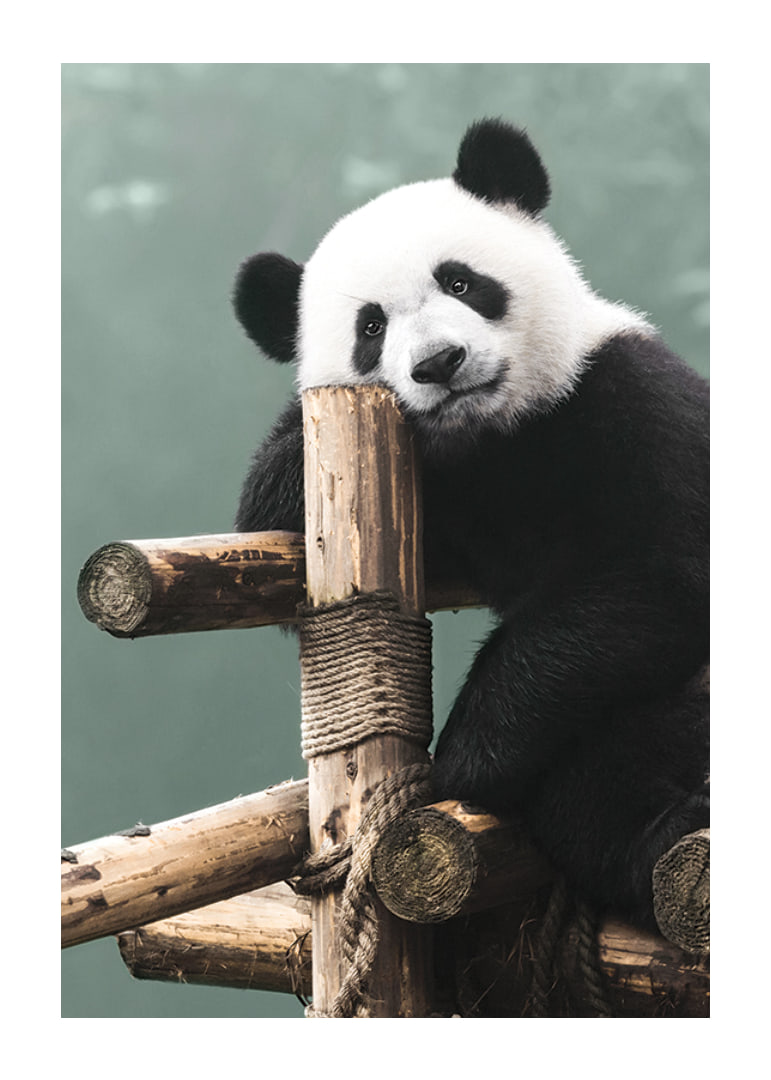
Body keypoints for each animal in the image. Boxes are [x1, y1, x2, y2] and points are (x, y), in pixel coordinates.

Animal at [232, 119, 709, 931]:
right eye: (370, 327)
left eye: (460, 282)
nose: (438, 362)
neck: (496, 434)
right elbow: (265, 522)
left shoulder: (632, 401)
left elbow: (656, 574)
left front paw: (462, 758)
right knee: (594, 791)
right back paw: (664, 834)